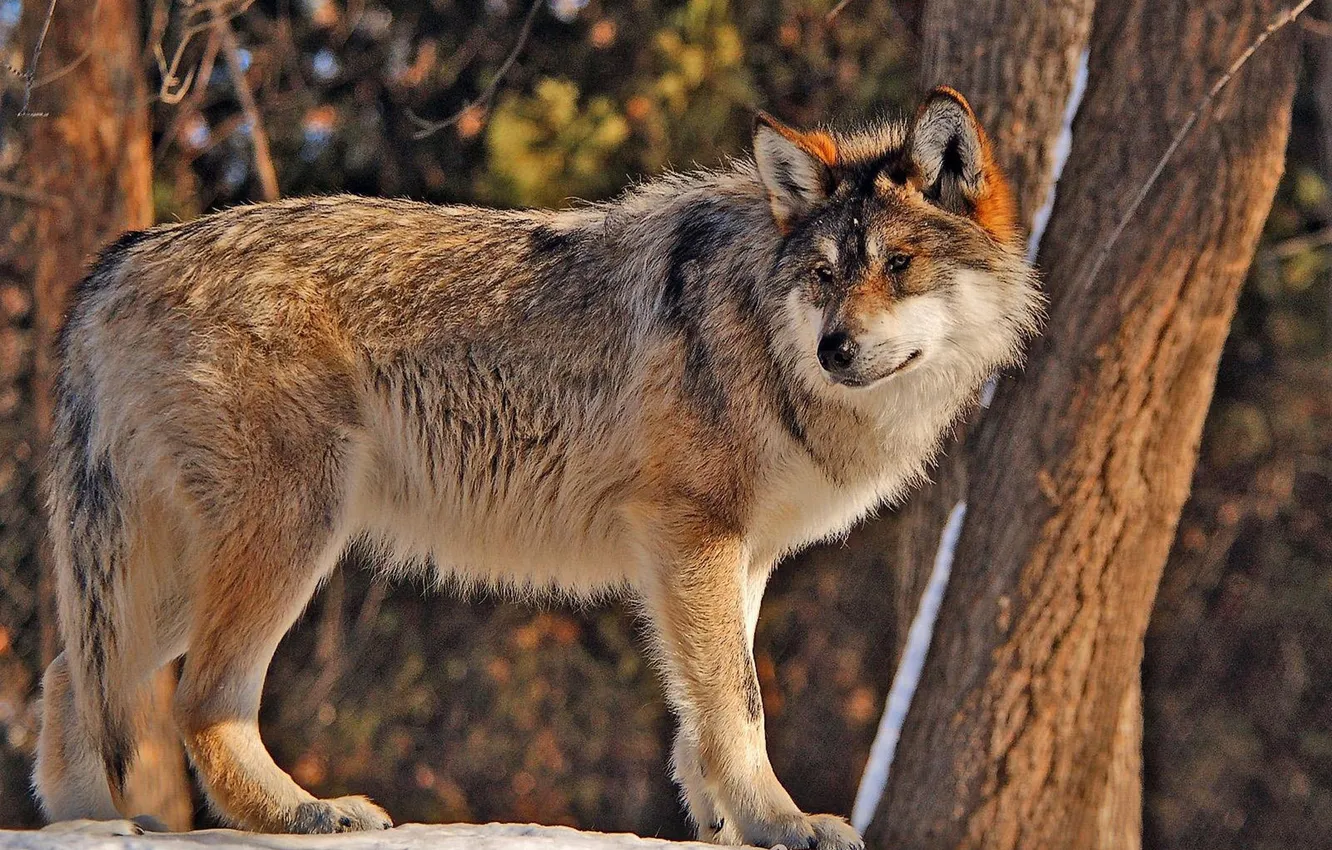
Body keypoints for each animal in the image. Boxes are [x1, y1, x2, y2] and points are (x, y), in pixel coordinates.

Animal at [33, 86, 1040, 847]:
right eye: (827, 274)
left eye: (899, 264)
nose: (835, 349)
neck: (758, 329)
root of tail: (120, 260)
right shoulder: (693, 535)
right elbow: (740, 704)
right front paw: (780, 824)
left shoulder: (731, 556)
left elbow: (703, 712)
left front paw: (722, 824)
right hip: (288, 538)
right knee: (199, 702)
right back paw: (306, 814)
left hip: (179, 573)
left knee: (69, 678)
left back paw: (93, 826)